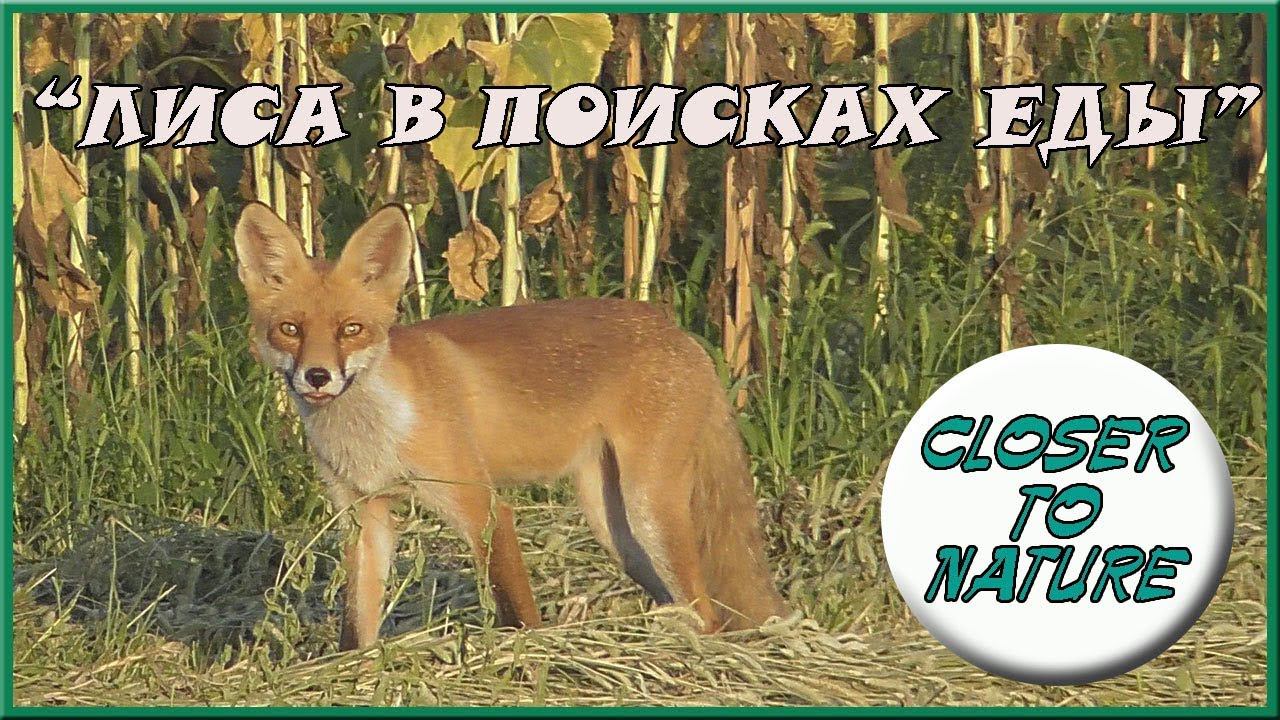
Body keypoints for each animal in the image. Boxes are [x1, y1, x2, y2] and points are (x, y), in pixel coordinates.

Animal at [233, 202, 789, 650]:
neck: (374, 435)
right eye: (289, 329)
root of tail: (674, 328)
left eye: (351, 329)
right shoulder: (363, 515)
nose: (317, 376)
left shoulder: (483, 505)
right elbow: (356, 624)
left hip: (649, 508)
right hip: (615, 527)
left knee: (708, 612)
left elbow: (515, 607)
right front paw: (353, 668)